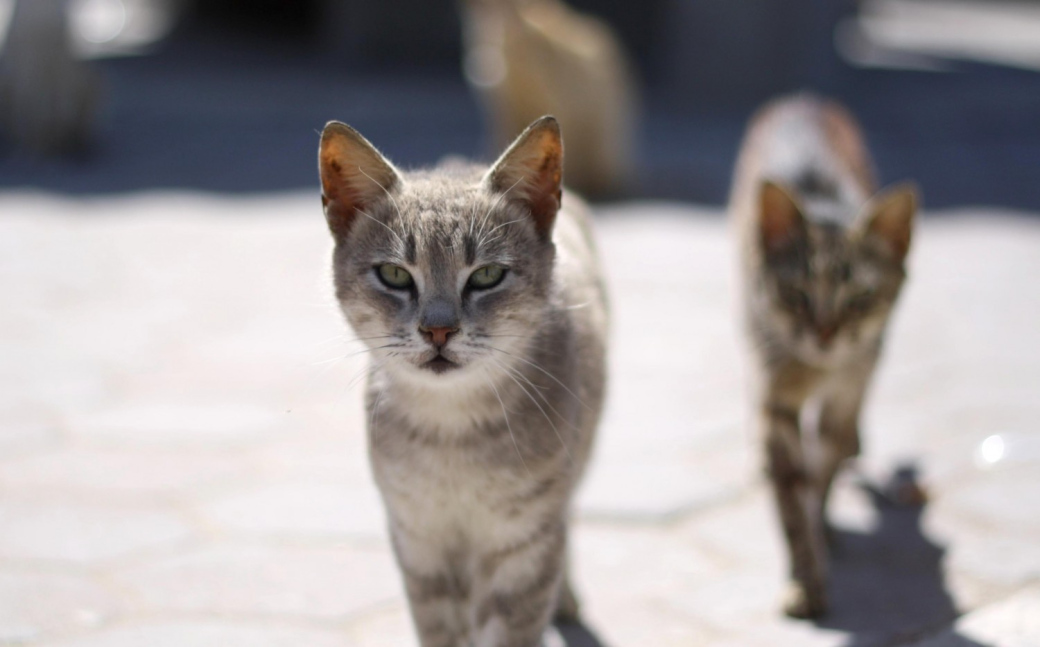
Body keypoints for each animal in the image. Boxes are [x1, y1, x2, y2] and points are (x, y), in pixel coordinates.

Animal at [318, 113, 607, 644]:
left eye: (487, 275)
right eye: (394, 274)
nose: (438, 329)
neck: (450, 434)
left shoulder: (524, 546)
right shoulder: (419, 544)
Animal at [728, 92, 915, 619]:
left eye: (860, 299)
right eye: (796, 295)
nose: (825, 333)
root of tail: (802, 97)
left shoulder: (847, 392)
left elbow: (822, 472)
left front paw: (821, 529)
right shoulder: (775, 397)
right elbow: (793, 495)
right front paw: (805, 577)